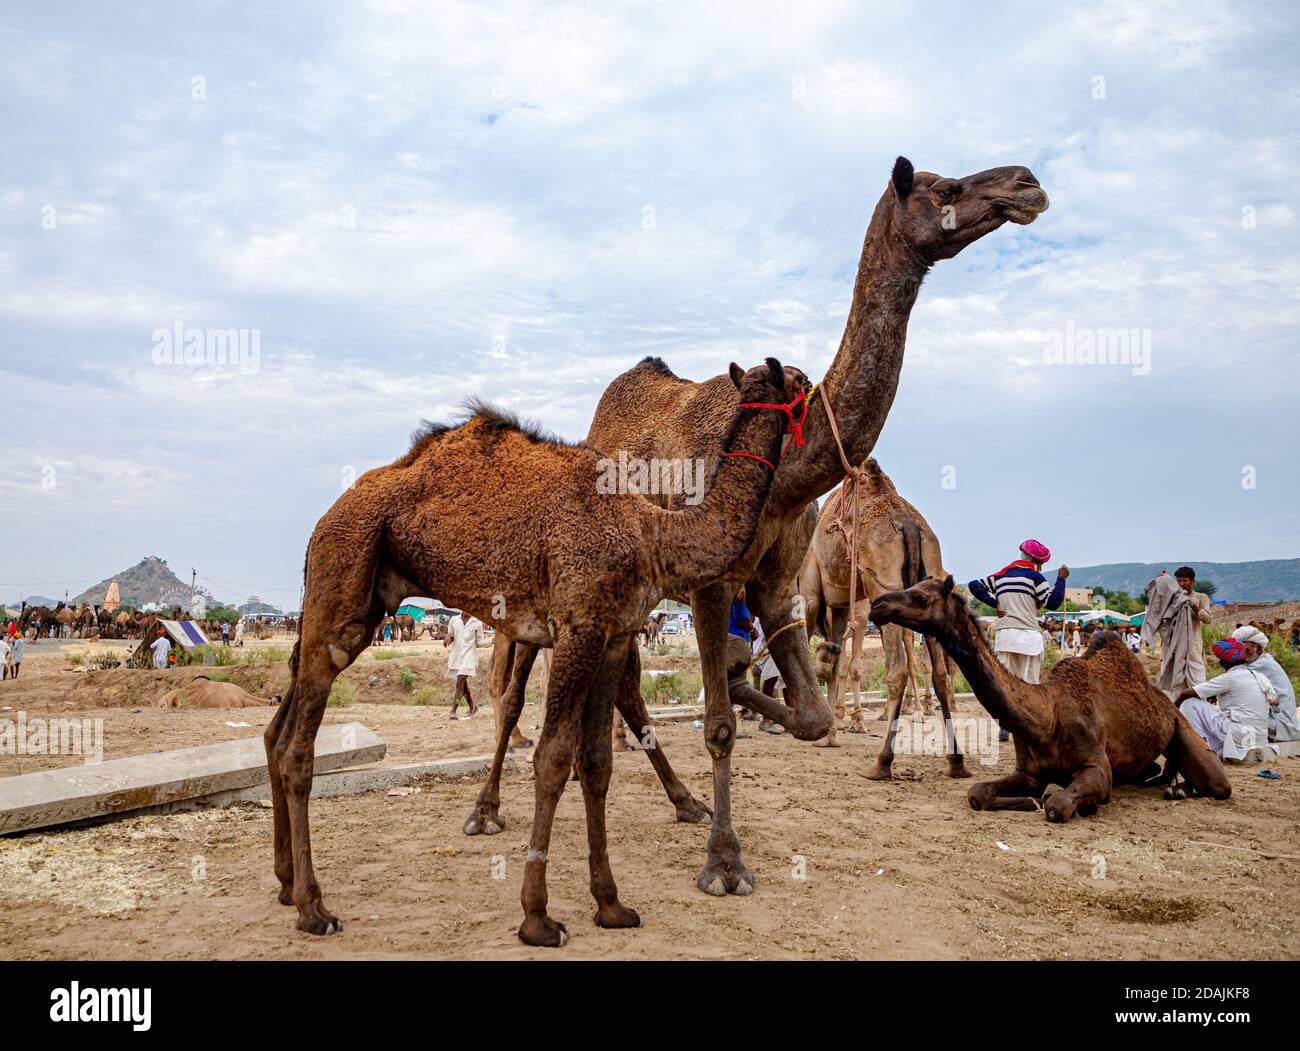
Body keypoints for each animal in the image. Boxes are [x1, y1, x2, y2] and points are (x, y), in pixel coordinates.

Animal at [266, 356, 790, 941]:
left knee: (280, 724)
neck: (652, 533)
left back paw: (286, 885)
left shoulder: (611, 636)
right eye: (798, 387)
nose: (809, 381)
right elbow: (552, 759)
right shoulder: (578, 627)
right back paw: (314, 908)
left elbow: (597, 762)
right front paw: (538, 917)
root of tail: (323, 521)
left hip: (359, 600)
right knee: (297, 748)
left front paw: (611, 906)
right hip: (344, 563)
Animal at [795, 460, 972, 780]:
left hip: (884, 586)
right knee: (939, 673)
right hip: (931, 578)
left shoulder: (812, 588)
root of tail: (909, 525)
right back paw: (955, 761)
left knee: (898, 670)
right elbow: (836, 660)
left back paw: (881, 762)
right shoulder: (842, 602)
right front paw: (830, 734)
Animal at [873, 574, 1227, 822]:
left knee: (1217, 784)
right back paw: (1165, 783)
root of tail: (1164, 702)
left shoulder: (1097, 767)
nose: (878, 604)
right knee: (1157, 769)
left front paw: (1076, 805)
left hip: (1182, 728)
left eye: (920, 596)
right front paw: (1030, 801)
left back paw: (1178, 789)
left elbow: (1057, 803)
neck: (1047, 717)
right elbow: (977, 792)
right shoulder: (1030, 774)